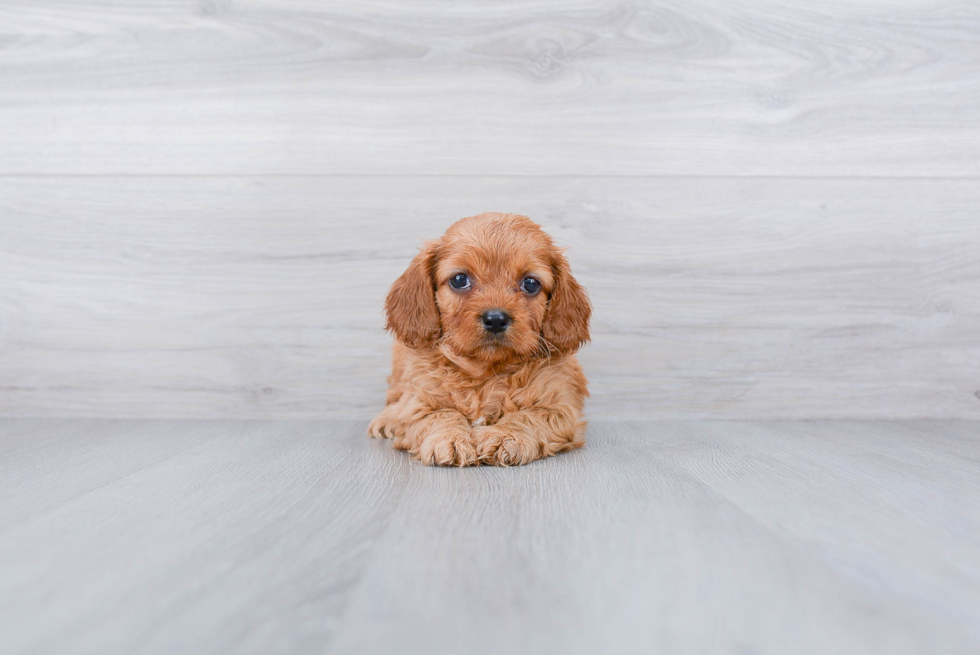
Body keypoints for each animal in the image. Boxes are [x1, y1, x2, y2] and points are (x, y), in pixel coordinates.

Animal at [368, 211, 588, 466]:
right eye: (459, 279)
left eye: (531, 283)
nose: (495, 319)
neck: (486, 373)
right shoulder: (418, 401)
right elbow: (440, 414)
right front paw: (451, 439)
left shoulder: (559, 407)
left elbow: (528, 417)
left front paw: (504, 437)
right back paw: (385, 418)